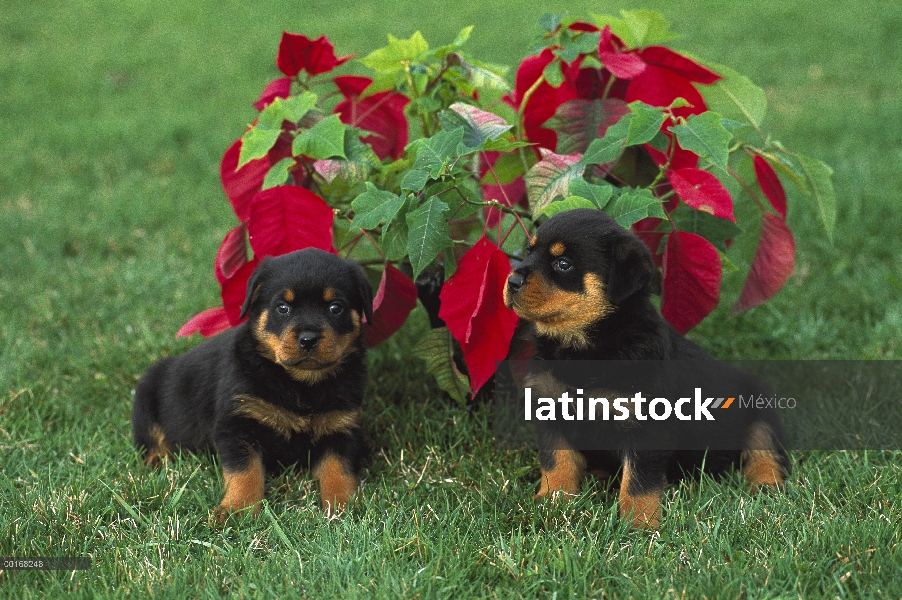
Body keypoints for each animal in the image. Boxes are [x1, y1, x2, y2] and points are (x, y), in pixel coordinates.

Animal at [132, 246, 372, 516]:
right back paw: (158, 459)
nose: (308, 339)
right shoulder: (238, 423)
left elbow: (338, 470)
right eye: (282, 308)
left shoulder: (341, 425)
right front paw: (237, 511)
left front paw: (343, 507)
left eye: (335, 308)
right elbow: (245, 472)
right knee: (149, 437)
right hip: (146, 392)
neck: (299, 385)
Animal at [504, 209, 788, 528]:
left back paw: (765, 487)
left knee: (765, 453)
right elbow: (556, 462)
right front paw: (551, 502)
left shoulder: (649, 422)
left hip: (759, 405)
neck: (584, 345)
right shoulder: (550, 406)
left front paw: (638, 524)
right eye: (528, 252)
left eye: (563, 263)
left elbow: (640, 481)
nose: (512, 280)